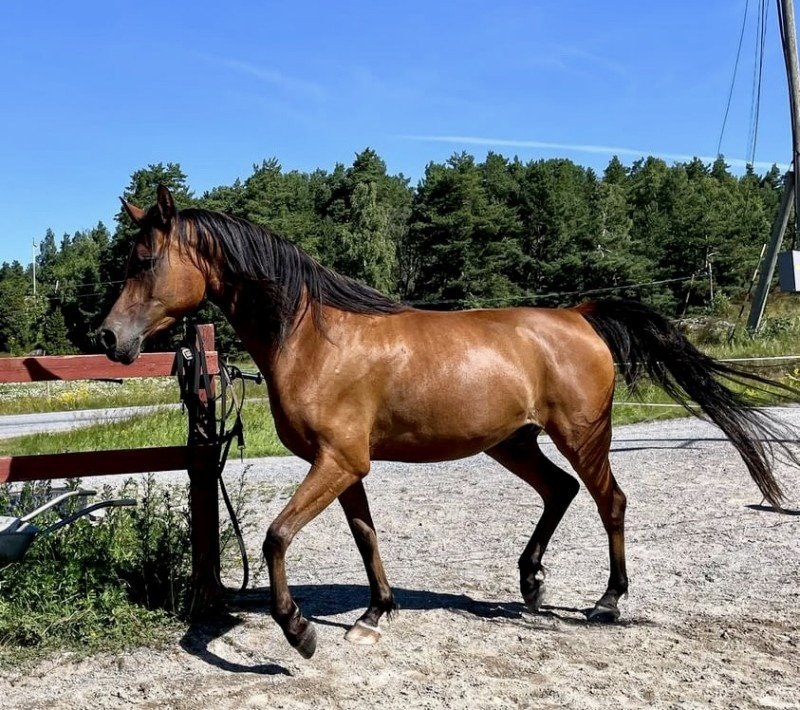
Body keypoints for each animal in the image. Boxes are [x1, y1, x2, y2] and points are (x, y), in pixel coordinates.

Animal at [100, 185, 792, 660]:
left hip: (582, 435)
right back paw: (531, 583)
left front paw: (298, 630)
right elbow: (366, 537)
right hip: (513, 443)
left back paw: (607, 601)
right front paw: (375, 615)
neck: (314, 336)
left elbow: (275, 536)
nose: (109, 338)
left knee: (610, 501)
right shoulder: (345, 466)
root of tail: (579, 315)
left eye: (145, 261)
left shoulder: (338, 461)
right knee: (561, 491)